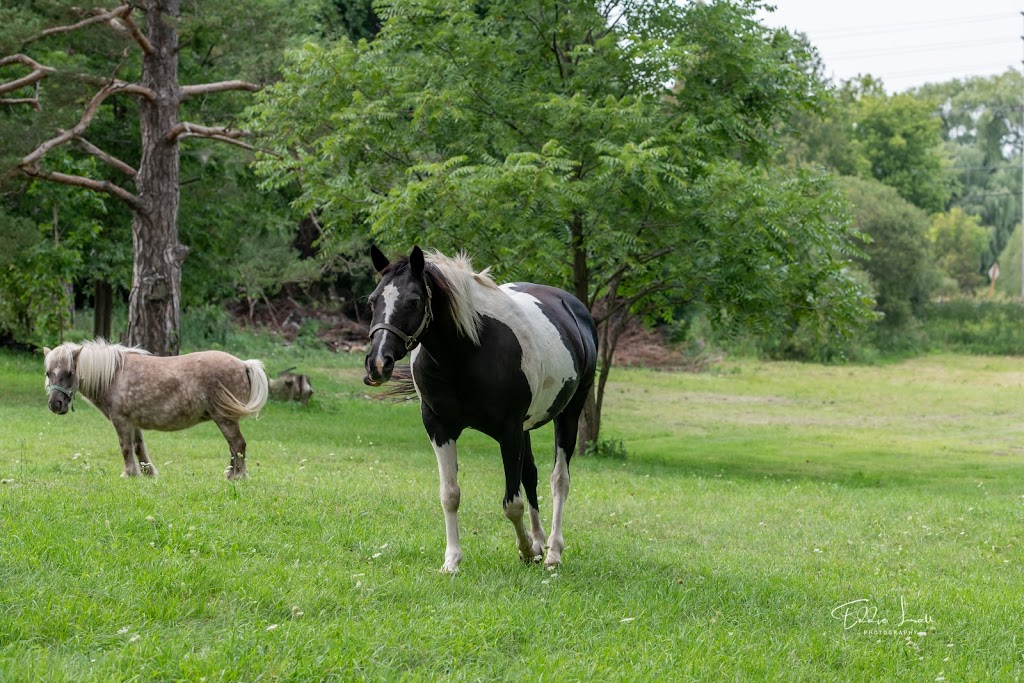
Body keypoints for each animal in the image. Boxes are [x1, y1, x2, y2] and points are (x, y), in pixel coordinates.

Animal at [44, 337, 268, 479]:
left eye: (70, 372)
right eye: (48, 373)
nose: (56, 404)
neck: (113, 375)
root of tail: (244, 364)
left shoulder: (121, 420)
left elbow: (125, 447)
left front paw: (129, 474)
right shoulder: (133, 422)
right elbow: (138, 447)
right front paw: (147, 473)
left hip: (225, 418)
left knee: (237, 445)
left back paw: (238, 476)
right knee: (233, 447)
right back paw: (231, 474)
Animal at [364, 245, 598, 573]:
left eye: (413, 301)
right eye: (372, 300)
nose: (377, 363)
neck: (466, 353)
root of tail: (574, 308)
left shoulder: (509, 431)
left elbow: (512, 503)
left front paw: (526, 549)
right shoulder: (439, 427)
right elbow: (450, 495)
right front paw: (452, 561)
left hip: (569, 415)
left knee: (559, 481)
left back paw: (552, 551)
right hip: (527, 428)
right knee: (531, 475)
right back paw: (540, 542)